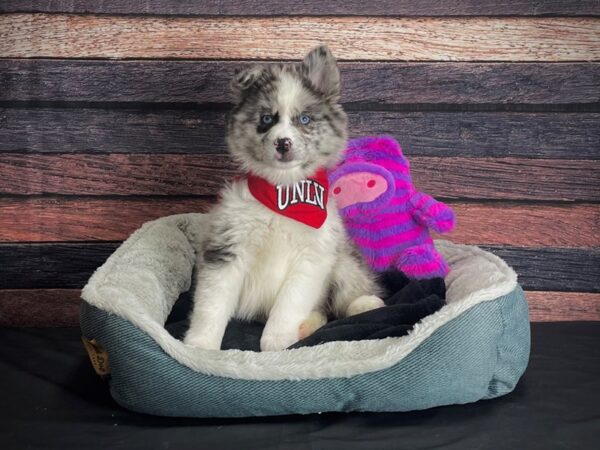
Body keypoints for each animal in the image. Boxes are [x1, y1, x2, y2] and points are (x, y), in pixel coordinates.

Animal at [183, 44, 386, 352]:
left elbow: (288, 304)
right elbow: (212, 304)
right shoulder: (227, 248)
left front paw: (277, 341)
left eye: (304, 119)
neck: (283, 191)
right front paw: (200, 346)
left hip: (342, 260)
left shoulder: (314, 255)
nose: (283, 143)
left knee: (343, 297)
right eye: (267, 119)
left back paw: (363, 305)